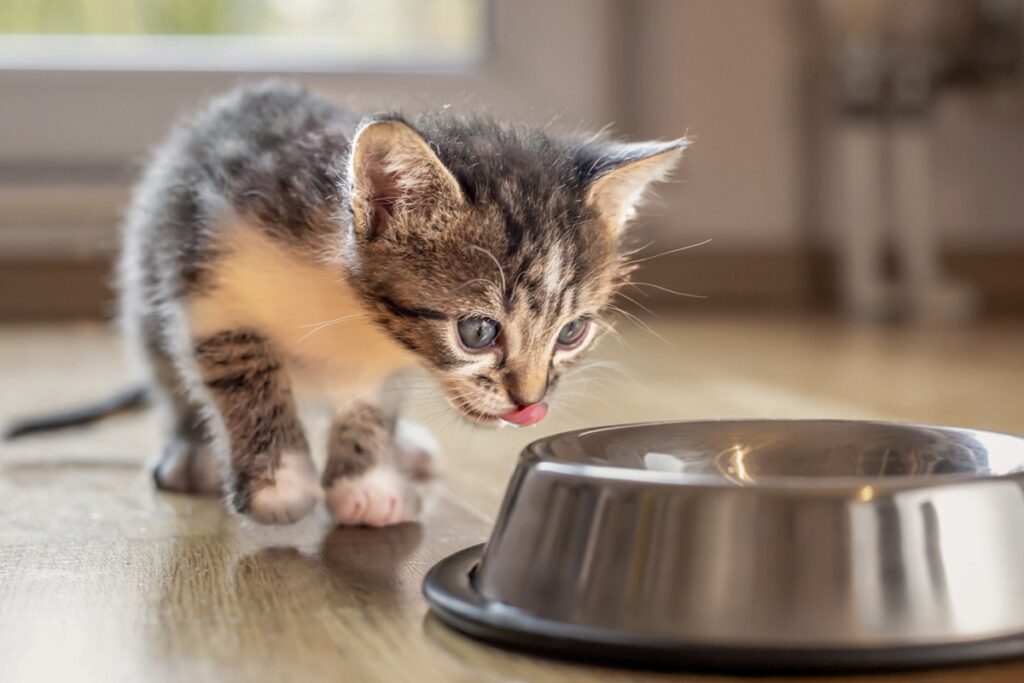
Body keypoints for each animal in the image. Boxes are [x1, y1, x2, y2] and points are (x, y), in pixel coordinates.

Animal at [8, 81, 688, 528]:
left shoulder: (383, 361)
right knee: (168, 376)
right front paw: (282, 482)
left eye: (571, 332)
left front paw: (367, 481)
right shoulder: (209, 286)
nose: (531, 405)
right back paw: (192, 452)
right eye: (477, 331)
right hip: (146, 278)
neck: (344, 302)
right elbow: (244, 372)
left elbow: (368, 406)